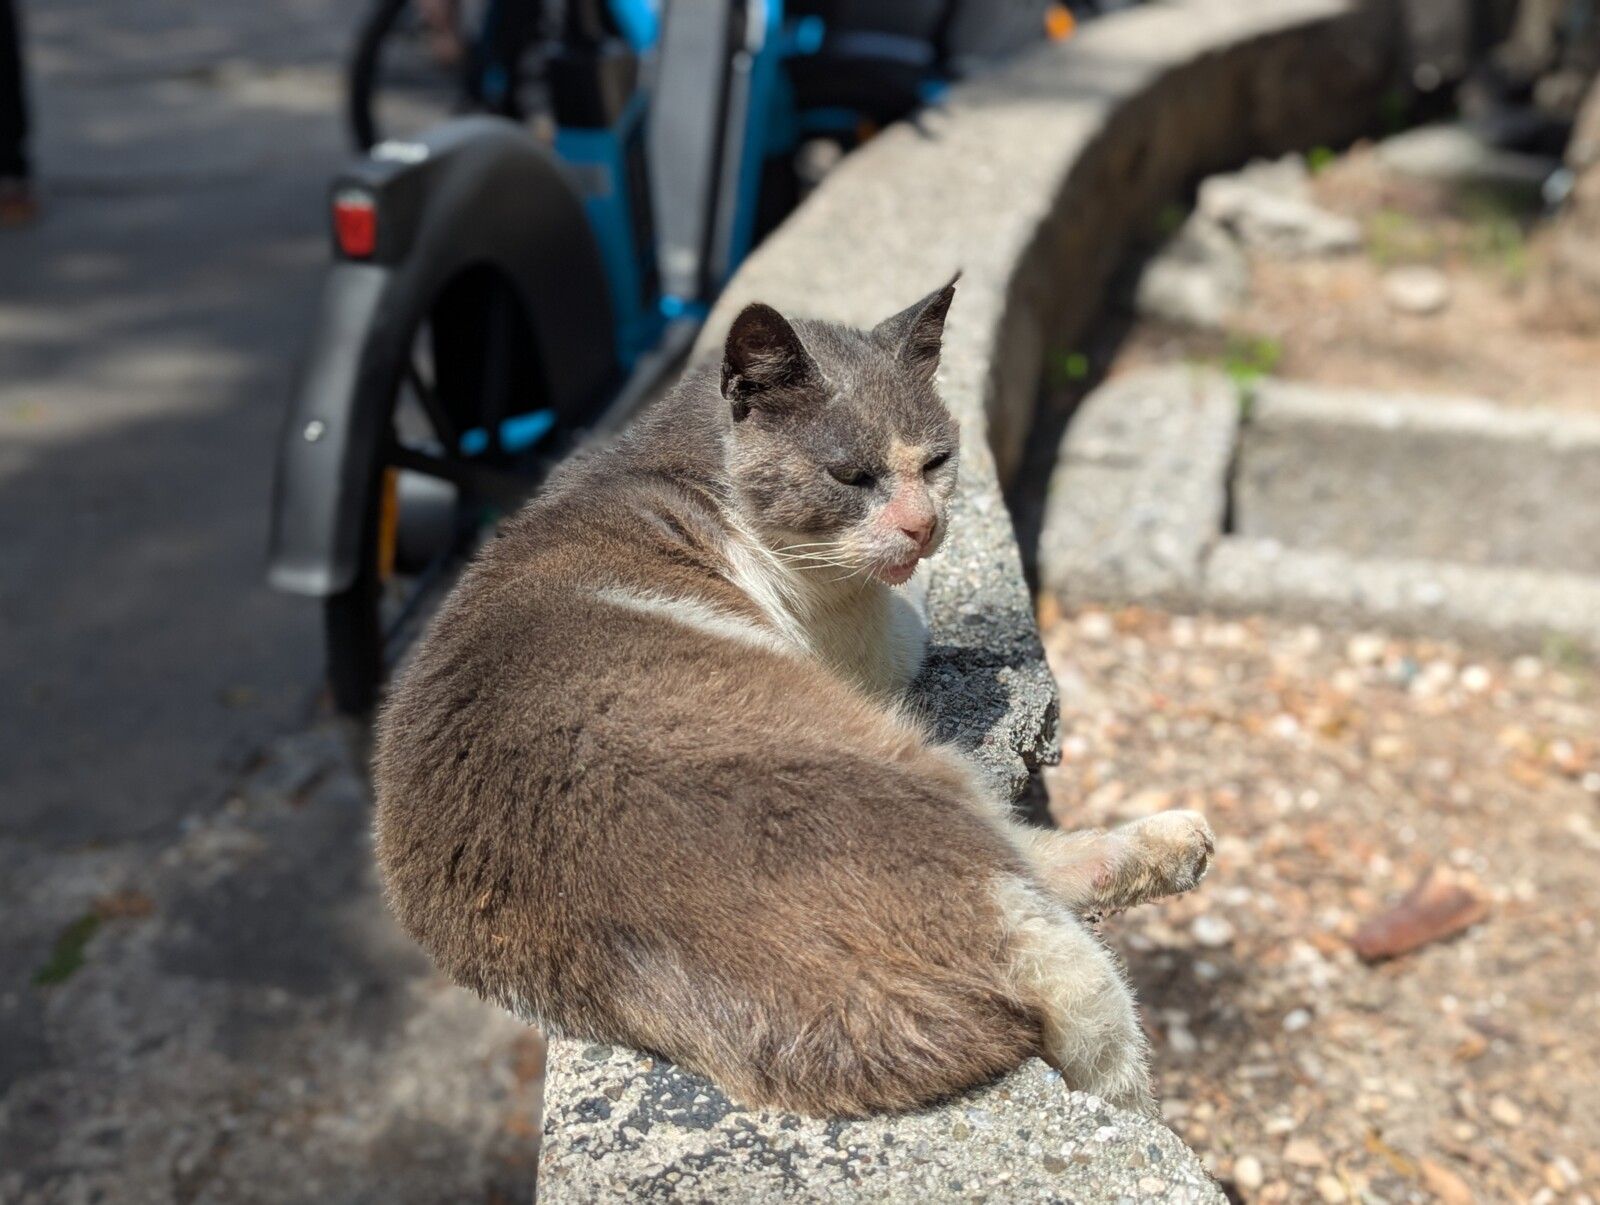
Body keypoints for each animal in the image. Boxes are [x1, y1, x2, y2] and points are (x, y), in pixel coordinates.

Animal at [372, 279, 1215, 1118]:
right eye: (850, 477)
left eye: (937, 461)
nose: (925, 524)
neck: (686, 473)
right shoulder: (873, 636)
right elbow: (912, 616)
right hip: (914, 767)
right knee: (1042, 887)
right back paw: (1172, 845)